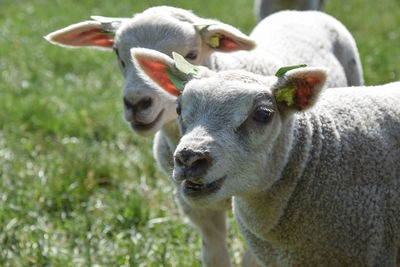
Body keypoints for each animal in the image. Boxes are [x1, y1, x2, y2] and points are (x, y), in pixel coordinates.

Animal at [45, 6, 364, 267]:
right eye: (117, 54)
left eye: (191, 55)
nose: (136, 103)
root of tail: (299, 11)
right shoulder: (194, 205)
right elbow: (214, 255)